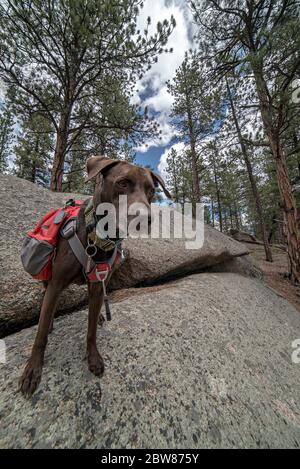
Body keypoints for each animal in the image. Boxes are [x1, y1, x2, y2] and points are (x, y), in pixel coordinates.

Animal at [18, 156, 171, 394]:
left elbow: (91, 331)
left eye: (151, 191)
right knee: (46, 302)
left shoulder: (99, 285)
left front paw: (93, 357)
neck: (98, 236)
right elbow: (40, 334)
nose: (144, 219)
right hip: (46, 275)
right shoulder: (57, 282)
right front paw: (33, 370)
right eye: (122, 183)